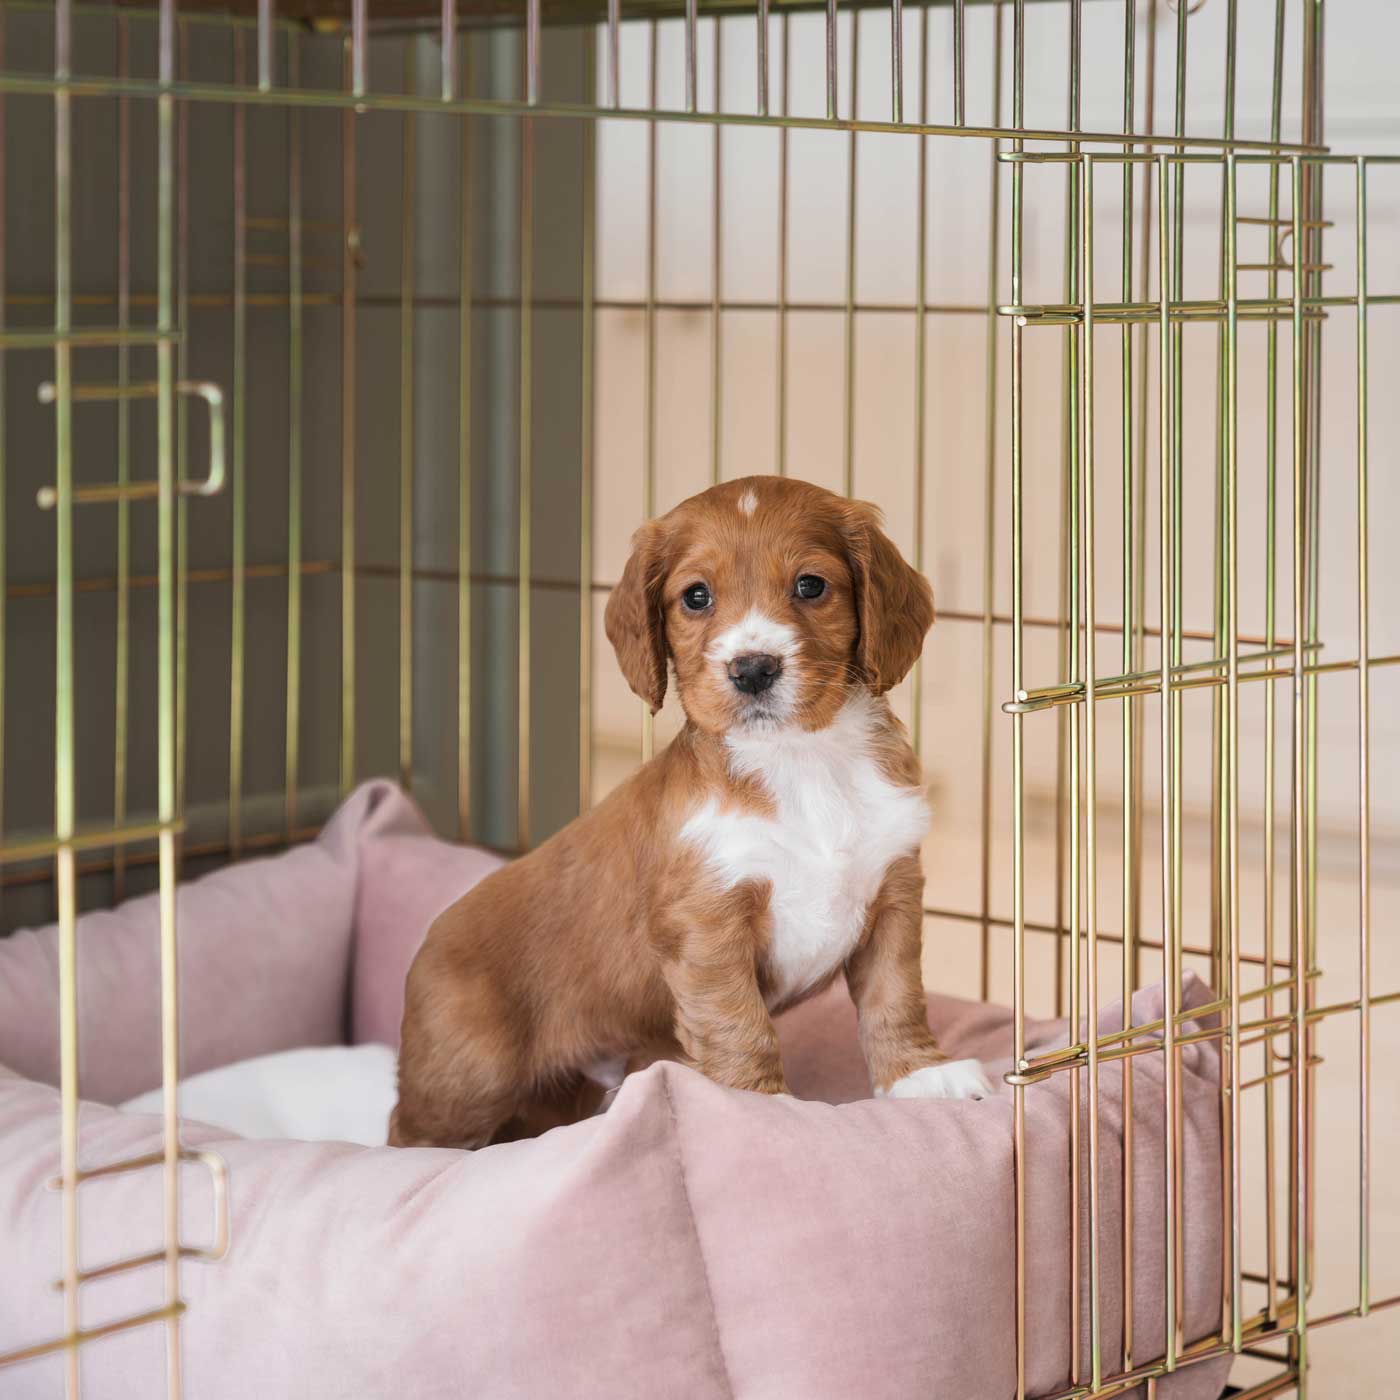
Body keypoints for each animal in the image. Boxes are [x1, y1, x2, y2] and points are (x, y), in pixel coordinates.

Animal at [389, 476, 991, 1153]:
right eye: (695, 596)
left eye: (811, 585)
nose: (752, 669)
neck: (799, 762)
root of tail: (426, 944)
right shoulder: (707, 924)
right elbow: (738, 1022)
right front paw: (762, 1107)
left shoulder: (894, 892)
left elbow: (897, 994)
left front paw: (921, 1076)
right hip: (467, 1074)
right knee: (408, 1132)